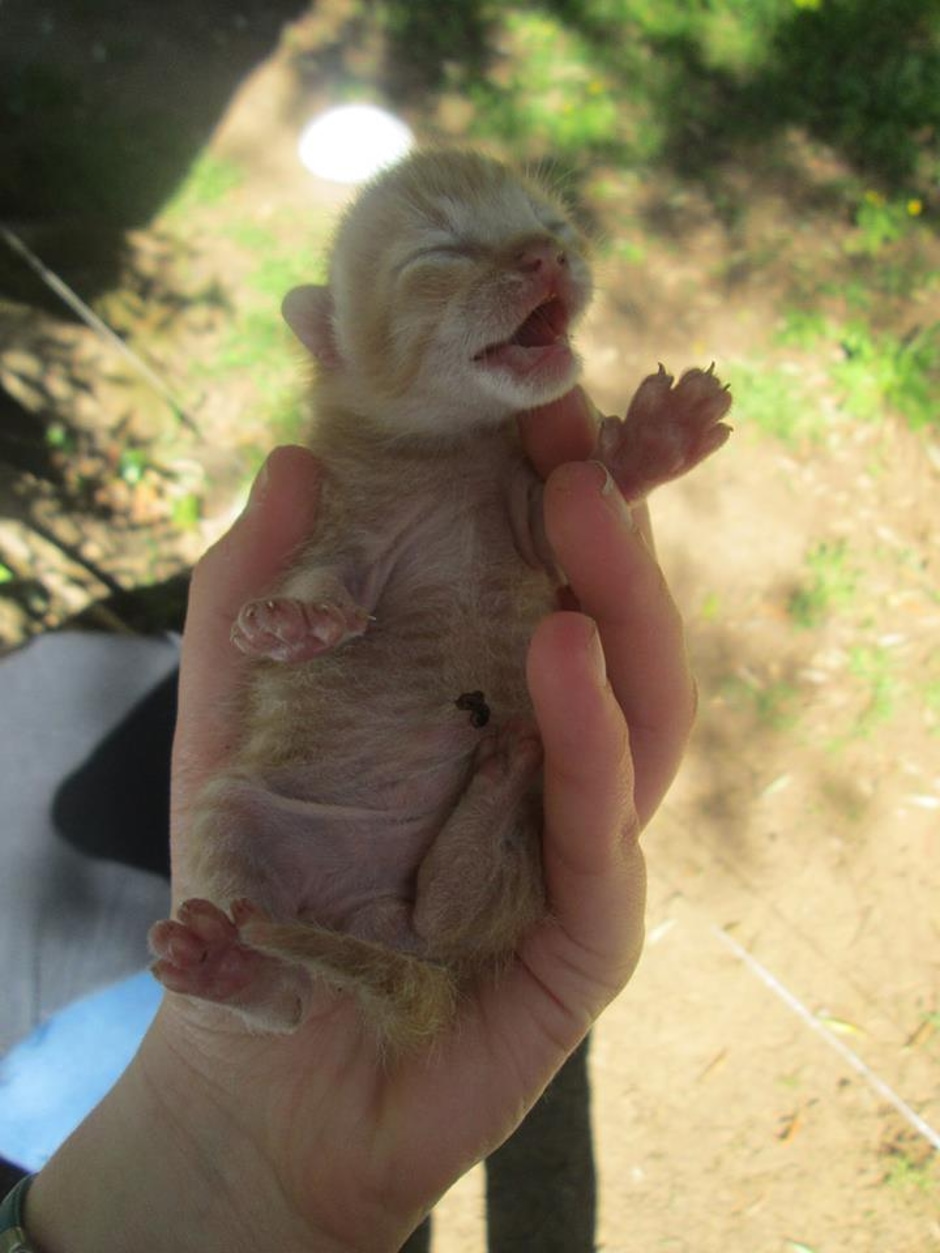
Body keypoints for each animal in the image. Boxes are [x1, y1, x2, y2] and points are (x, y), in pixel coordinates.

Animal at [149, 149, 732, 1051]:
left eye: (551, 224)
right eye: (443, 252)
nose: (547, 255)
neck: (446, 448)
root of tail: (371, 923)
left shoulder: (527, 524)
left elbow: (569, 503)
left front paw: (653, 439)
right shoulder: (341, 521)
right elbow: (326, 577)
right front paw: (295, 623)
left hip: (508, 860)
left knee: (445, 920)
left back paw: (489, 800)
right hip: (226, 818)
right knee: (289, 1000)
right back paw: (225, 965)